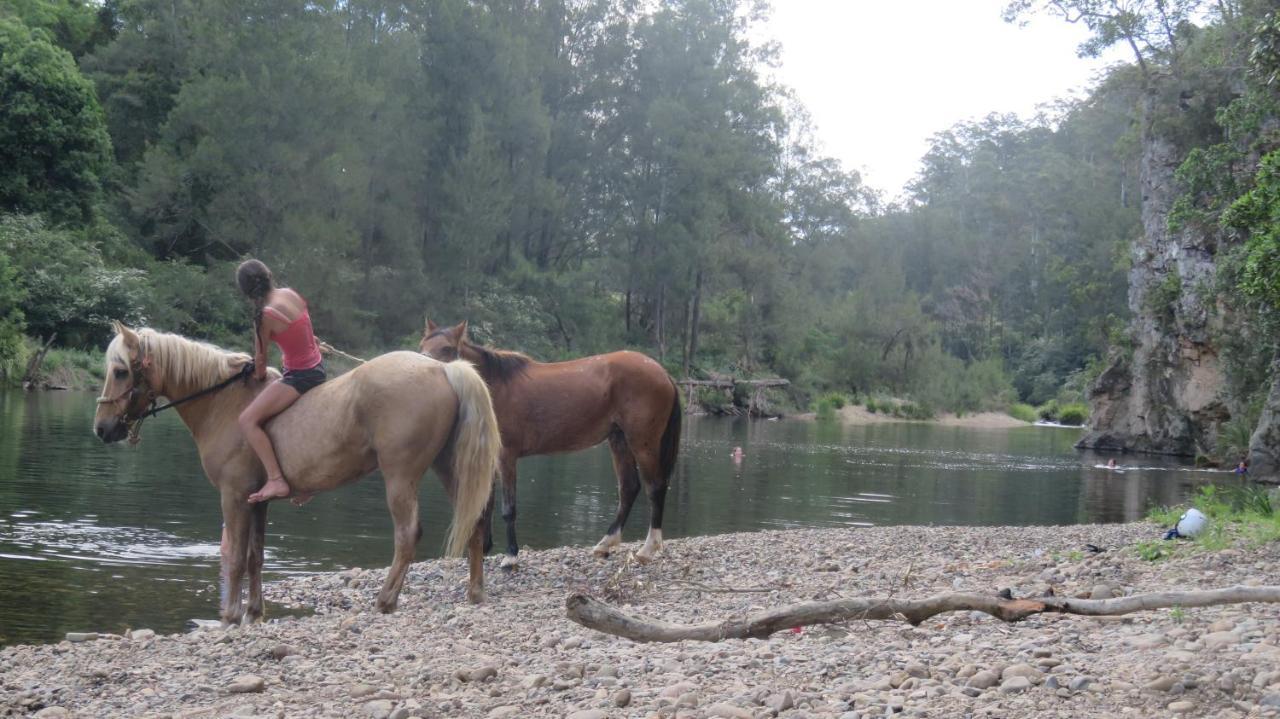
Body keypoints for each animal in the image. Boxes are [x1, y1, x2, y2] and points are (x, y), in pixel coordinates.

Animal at [88, 319, 499, 621]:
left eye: (120, 371)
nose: (103, 429)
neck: (223, 403)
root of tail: (443, 369)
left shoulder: (234, 497)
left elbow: (235, 558)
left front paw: (230, 615)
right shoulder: (257, 500)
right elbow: (255, 555)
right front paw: (253, 612)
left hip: (400, 475)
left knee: (407, 534)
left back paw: (386, 599)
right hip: (448, 468)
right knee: (476, 519)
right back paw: (475, 592)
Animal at [417, 319, 680, 565]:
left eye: (447, 348)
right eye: (422, 346)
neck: (494, 388)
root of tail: (662, 372)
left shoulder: (507, 457)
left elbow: (508, 509)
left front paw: (511, 556)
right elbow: (485, 505)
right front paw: (483, 549)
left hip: (643, 442)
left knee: (655, 486)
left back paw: (647, 549)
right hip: (619, 441)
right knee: (629, 487)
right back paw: (606, 543)